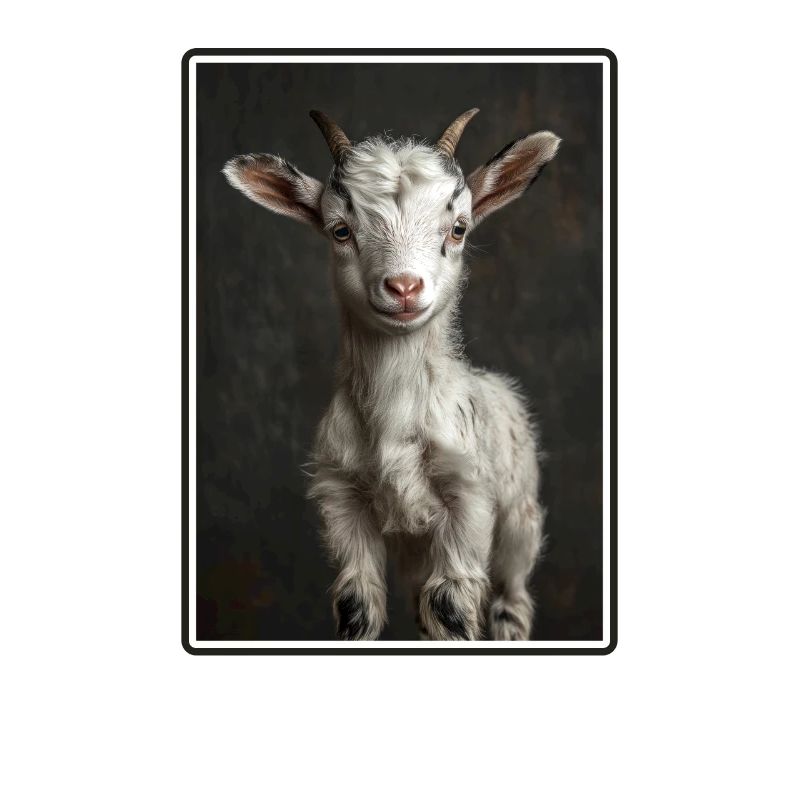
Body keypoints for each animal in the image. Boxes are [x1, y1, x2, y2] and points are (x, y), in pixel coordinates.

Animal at [224, 109, 561, 640]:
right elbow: (357, 603)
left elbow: (449, 606)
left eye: (458, 228)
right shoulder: (342, 499)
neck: (395, 419)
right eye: (340, 230)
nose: (404, 287)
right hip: (416, 546)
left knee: (511, 598)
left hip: (518, 519)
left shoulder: (469, 497)